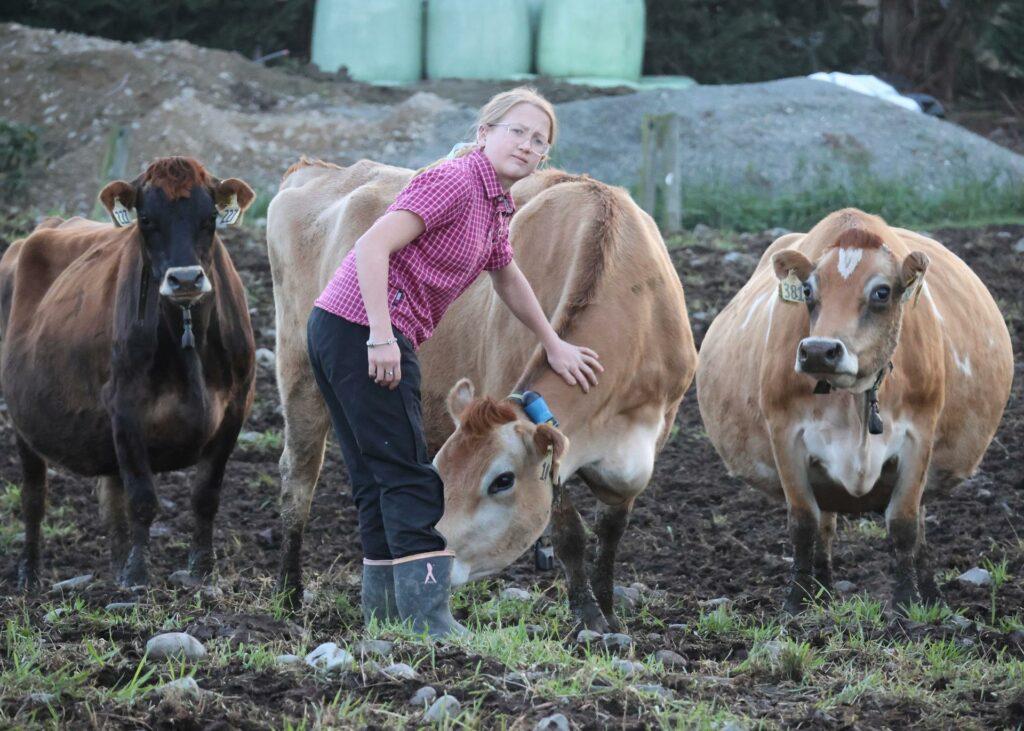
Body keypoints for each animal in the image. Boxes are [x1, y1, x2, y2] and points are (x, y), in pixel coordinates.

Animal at [0, 156, 256, 589]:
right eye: (146, 219)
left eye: (210, 218)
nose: (185, 278)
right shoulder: (125, 408)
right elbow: (142, 499)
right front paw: (138, 576)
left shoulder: (235, 407)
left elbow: (205, 495)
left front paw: (202, 570)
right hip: (23, 422)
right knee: (34, 497)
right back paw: (30, 574)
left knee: (111, 499)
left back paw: (116, 568)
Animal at [700, 206, 1011, 610]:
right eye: (807, 290)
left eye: (882, 291)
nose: (818, 350)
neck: (853, 399)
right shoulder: (785, 435)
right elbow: (803, 522)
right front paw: (797, 602)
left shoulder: (919, 437)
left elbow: (904, 524)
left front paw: (906, 602)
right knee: (824, 524)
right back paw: (822, 592)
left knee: (919, 523)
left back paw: (930, 594)